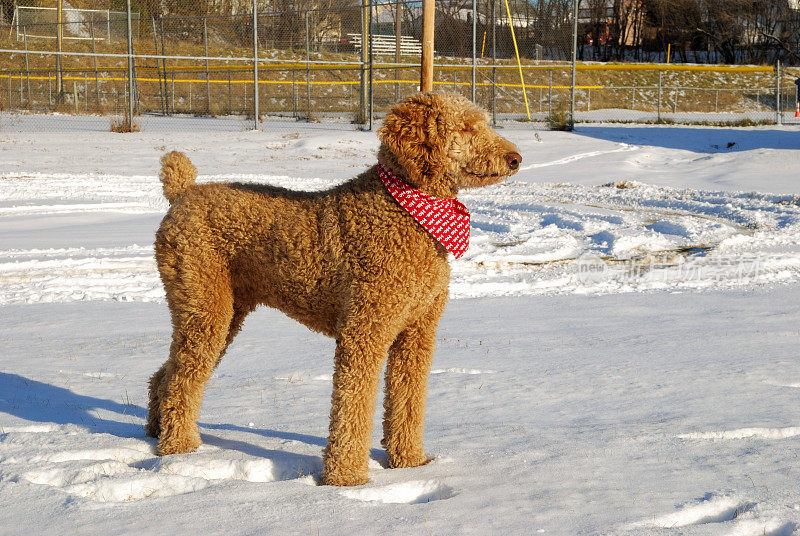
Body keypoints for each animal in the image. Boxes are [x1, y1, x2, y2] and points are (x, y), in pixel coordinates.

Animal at [146, 92, 520, 486]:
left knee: (167, 375)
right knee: (182, 380)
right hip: (204, 304)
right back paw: (180, 449)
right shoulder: (364, 329)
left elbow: (408, 399)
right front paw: (346, 478)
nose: (516, 158)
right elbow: (352, 404)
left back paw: (156, 431)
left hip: (221, 311)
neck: (406, 209)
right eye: (466, 127)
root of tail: (183, 193)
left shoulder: (417, 331)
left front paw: (411, 463)